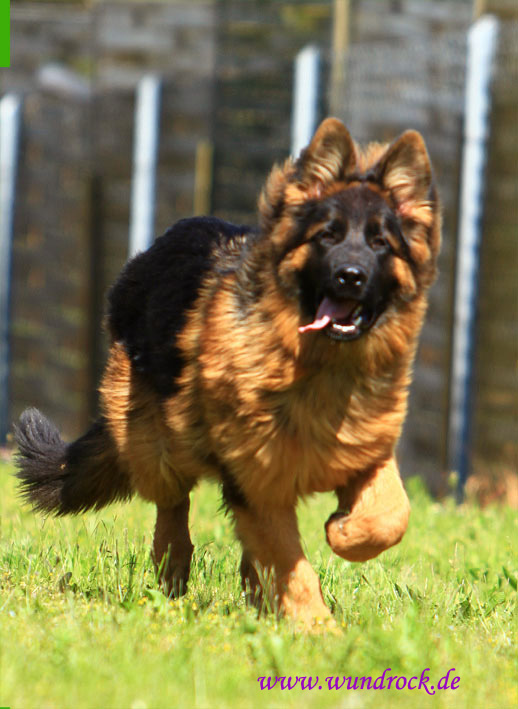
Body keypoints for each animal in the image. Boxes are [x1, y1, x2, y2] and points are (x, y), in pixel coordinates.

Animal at [14, 118, 441, 628]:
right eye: (327, 236)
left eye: (380, 243)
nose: (350, 276)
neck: (318, 367)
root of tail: (152, 251)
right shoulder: (257, 483)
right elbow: (291, 564)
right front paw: (318, 629)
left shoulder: (364, 451)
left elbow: (392, 514)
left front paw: (344, 532)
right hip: (155, 441)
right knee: (172, 505)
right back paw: (174, 569)